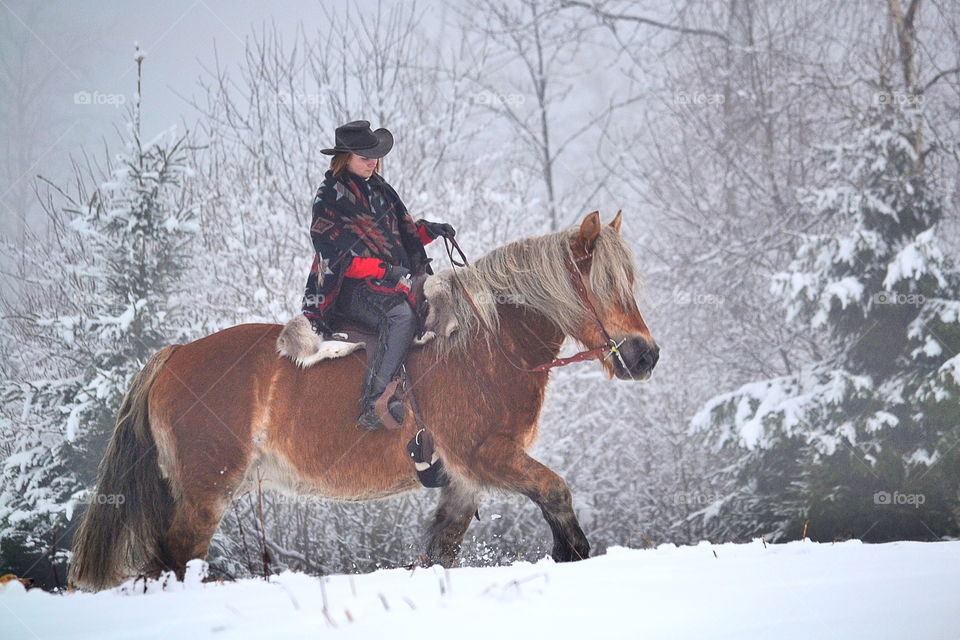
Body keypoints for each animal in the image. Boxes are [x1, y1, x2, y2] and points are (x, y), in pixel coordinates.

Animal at [65, 210, 652, 592]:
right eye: (602, 284)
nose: (645, 355)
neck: (487, 343)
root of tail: (175, 355)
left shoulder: (464, 480)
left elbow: (439, 551)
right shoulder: (487, 455)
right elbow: (555, 490)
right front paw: (571, 554)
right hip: (206, 493)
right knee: (172, 562)